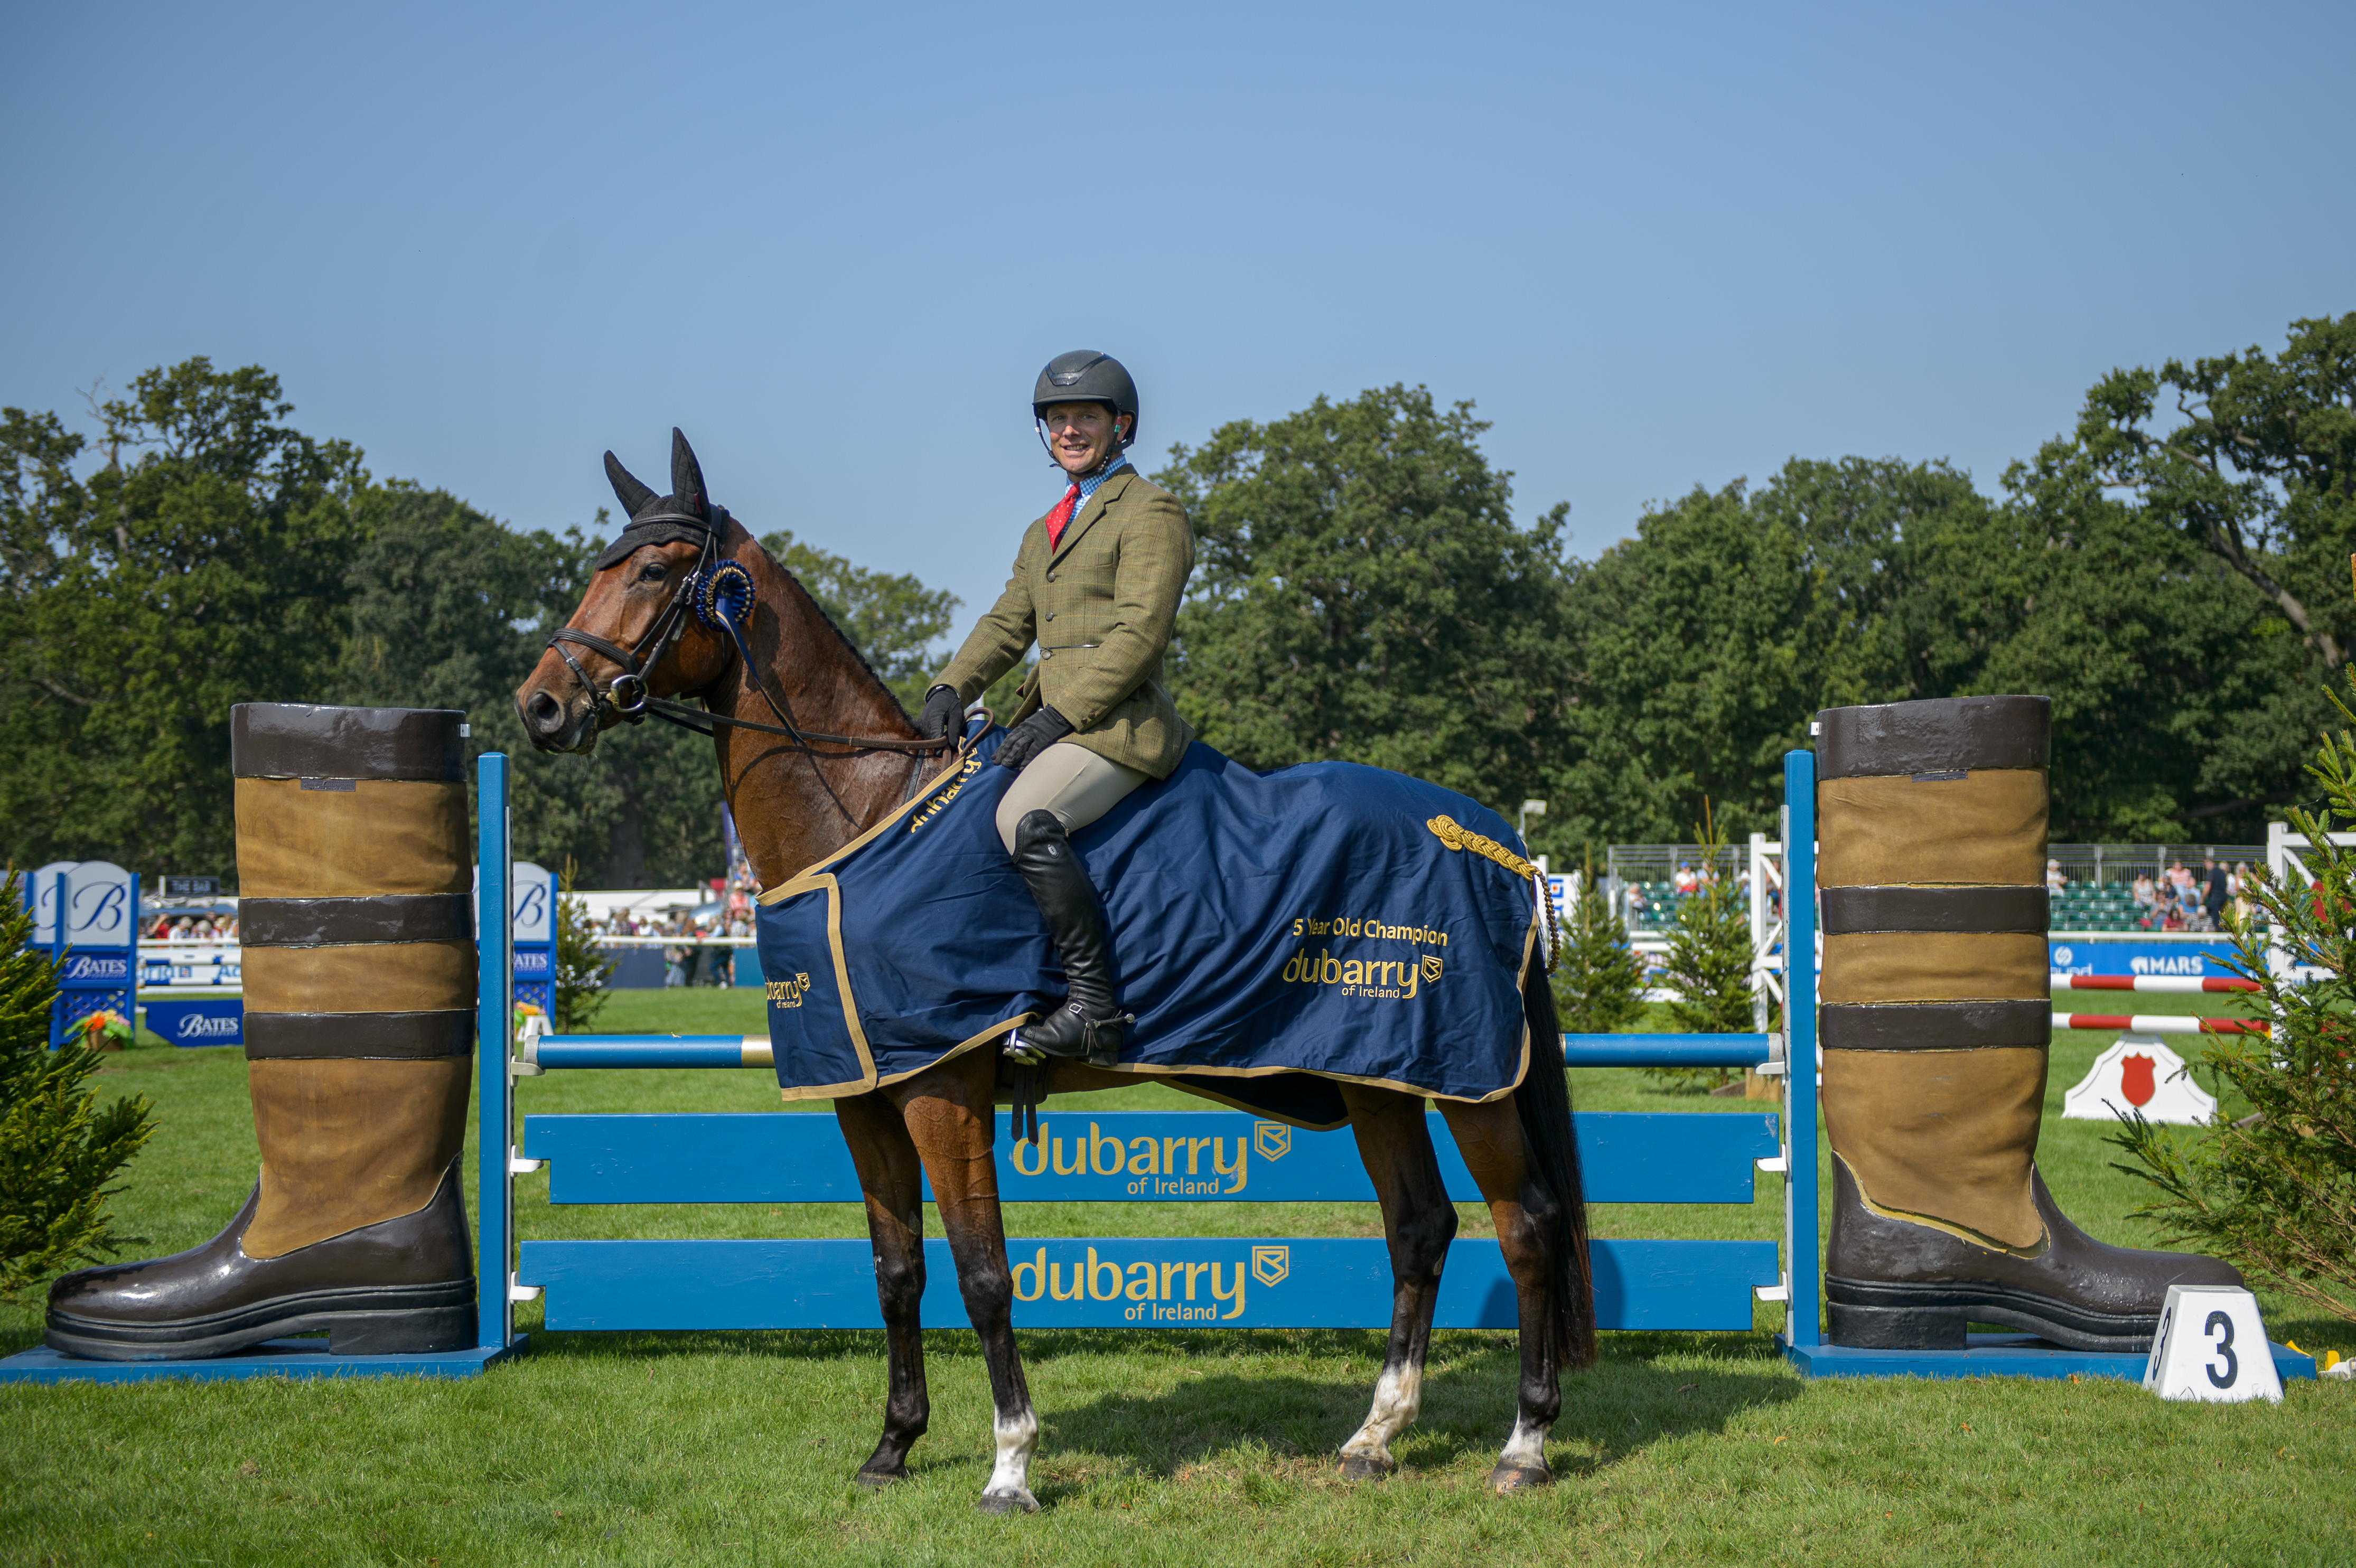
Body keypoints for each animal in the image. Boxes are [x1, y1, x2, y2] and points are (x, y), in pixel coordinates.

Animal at [515, 430, 1596, 1511]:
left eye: (655, 572)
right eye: (600, 567)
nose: (541, 707)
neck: (865, 818)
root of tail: (1496, 841)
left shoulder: (943, 1094)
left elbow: (985, 1273)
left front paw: (1010, 1462)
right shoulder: (863, 1097)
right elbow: (897, 1270)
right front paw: (893, 1445)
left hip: (1464, 1077)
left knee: (1528, 1224)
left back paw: (1526, 1444)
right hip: (1380, 1074)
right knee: (1419, 1226)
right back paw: (1376, 1434)